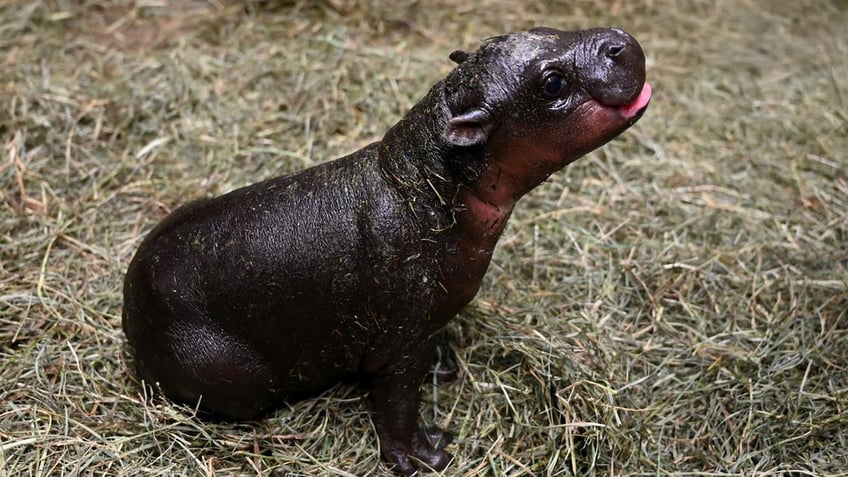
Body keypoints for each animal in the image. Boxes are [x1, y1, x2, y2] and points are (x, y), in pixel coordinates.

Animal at [121, 27, 648, 476]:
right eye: (552, 82)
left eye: (542, 29)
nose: (619, 40)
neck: (428, 179)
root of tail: (129, 308)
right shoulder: (398, 346)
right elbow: (397, 406)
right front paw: (428, 456)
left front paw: (444, 365)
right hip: (238, 375)